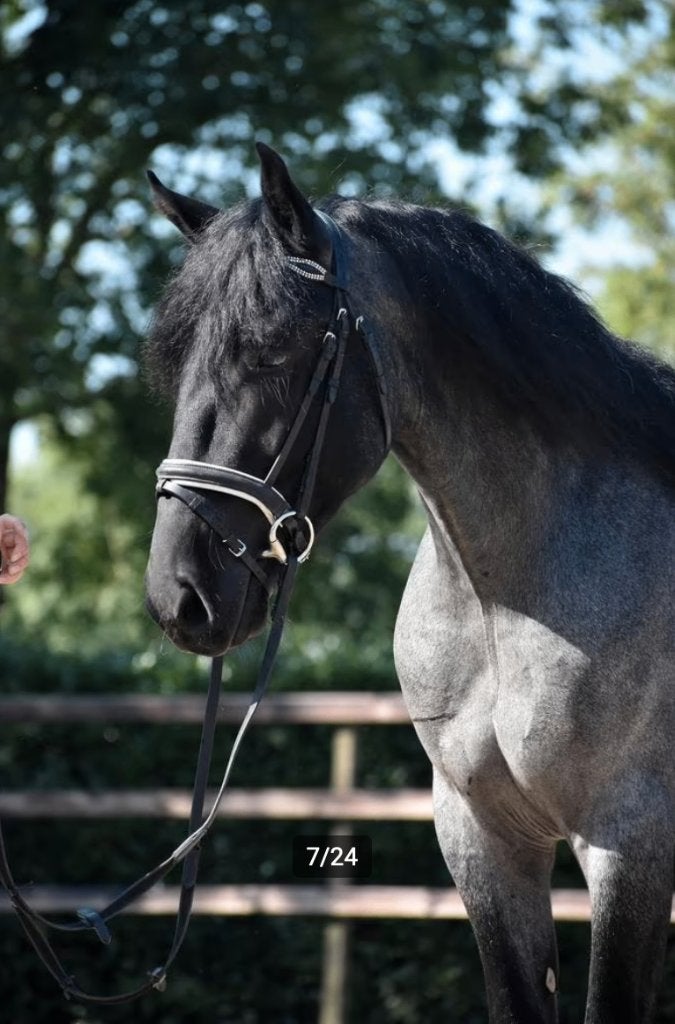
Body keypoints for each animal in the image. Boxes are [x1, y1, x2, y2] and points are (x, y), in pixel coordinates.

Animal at [144, 142, 675, 1023]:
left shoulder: (628, 844)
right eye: (176, 361)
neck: (503, 605)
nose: (178, 596)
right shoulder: (481, 841)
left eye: (271, 350)